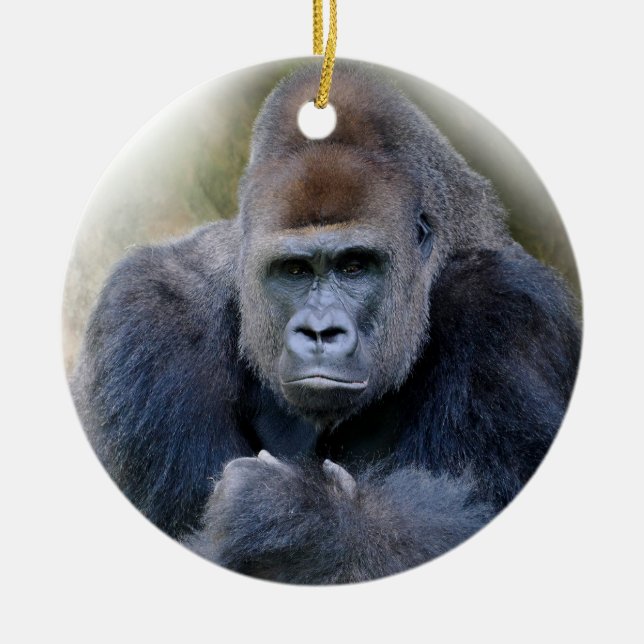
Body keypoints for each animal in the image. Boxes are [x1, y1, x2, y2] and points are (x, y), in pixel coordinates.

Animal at [72, 62, 581, 584]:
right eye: (294, 270)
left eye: (354, 266)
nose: (320, 332)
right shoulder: (146, 314)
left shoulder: (509, 307)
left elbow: (475, 511)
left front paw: (292, 519)